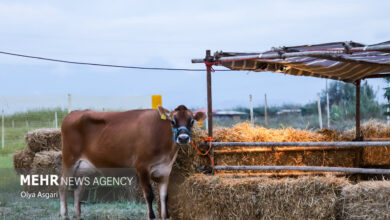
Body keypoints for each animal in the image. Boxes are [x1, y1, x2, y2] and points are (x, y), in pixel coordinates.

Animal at [59, 105, 206, 220]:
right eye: (173, 121)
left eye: (192, 121)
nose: (183, 138)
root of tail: (73, 113)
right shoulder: (142, 167)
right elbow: (149, 195)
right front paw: (151, 216)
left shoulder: (165, 170)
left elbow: (164, 196)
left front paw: (165, 216)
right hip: (69, 160)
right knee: (63, 186)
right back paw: (64, 214)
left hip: (83, 169)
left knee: (78, 190)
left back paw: (78, 215)